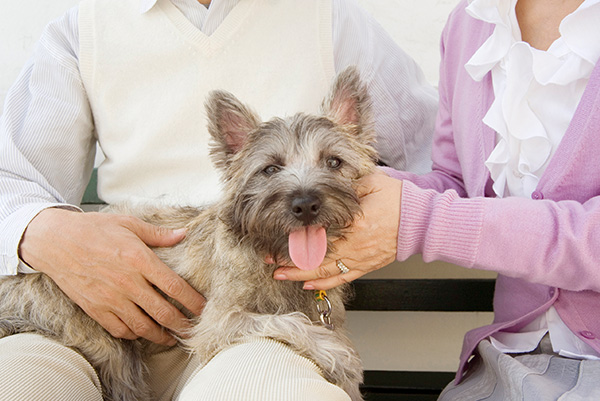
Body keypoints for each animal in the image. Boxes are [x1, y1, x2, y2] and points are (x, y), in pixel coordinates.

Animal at [0, 67, 376, 398]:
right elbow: (290, 323)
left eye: (334, 162)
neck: (273, 255)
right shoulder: (221, 323)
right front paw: (342, 359)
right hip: (110, 349)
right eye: (270, 169)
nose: (305, 204)